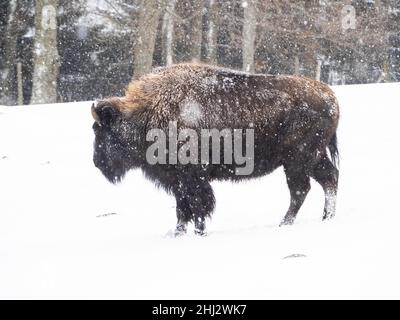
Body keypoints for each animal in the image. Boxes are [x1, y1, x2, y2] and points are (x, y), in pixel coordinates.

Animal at [92, 63, 340, 236]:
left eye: (100, 130)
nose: (96, 161)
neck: (147, 113)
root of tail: (330, 97)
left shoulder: (192, 178)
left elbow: (198, 205)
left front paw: (198, 233)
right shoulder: (178, 180)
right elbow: (182, 209)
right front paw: (178, 233)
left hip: (297, 161)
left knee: (300, 189)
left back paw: (285, 223)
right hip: (314, 158)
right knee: (329, 179)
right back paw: (326, 218)